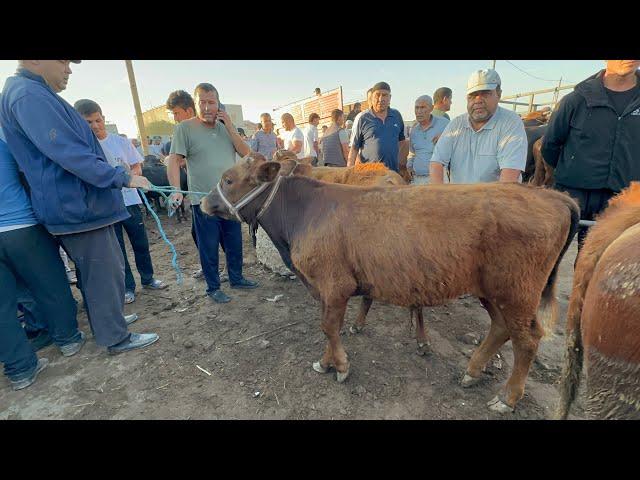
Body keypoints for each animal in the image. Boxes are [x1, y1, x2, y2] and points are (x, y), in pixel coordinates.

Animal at [204, 157, 580, 412]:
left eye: (228, 178)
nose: (205, 202)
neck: (304, 213)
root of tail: (553, 197)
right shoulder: (324, 288)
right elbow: (327, 326)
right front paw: (326, 362)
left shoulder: (334, 284)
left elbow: (328, 326)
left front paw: (340, 367)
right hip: (492, 289)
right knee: (501, 328)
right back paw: (473, 371)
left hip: (517, 292)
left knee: (527, 340)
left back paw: (508, 398)